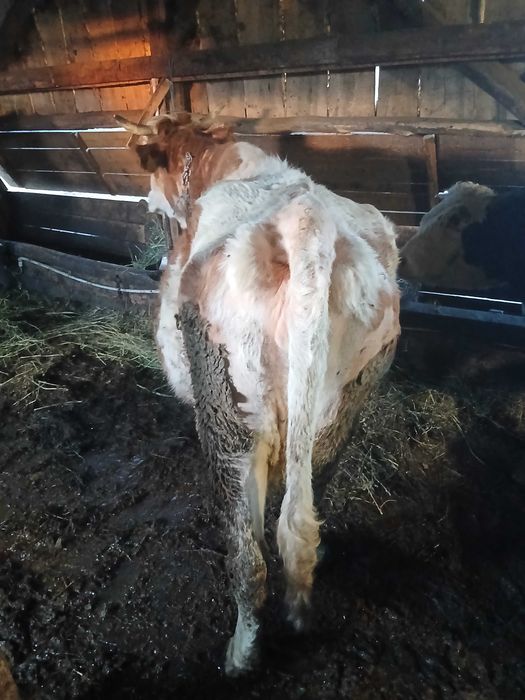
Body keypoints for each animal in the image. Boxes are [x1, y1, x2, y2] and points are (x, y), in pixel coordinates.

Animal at [117, 113, 400, 675]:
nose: (144, 200)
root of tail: (308, 224)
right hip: (340, 406)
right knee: (306, 507)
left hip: (229, 414)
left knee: (249, 561)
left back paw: (241, 654)